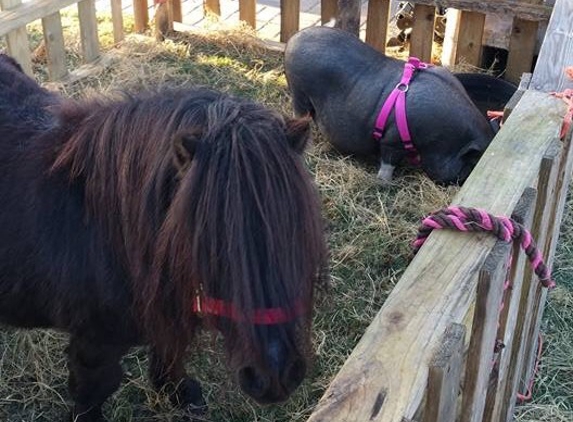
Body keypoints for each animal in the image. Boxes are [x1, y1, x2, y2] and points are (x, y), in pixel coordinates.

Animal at [284, 26, 494, 185]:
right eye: (472, 163)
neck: (444, 141)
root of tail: (293, 40)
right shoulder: (392, 139)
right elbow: (388, 161)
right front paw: (385, 183)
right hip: (300, 92)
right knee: (301, 114)